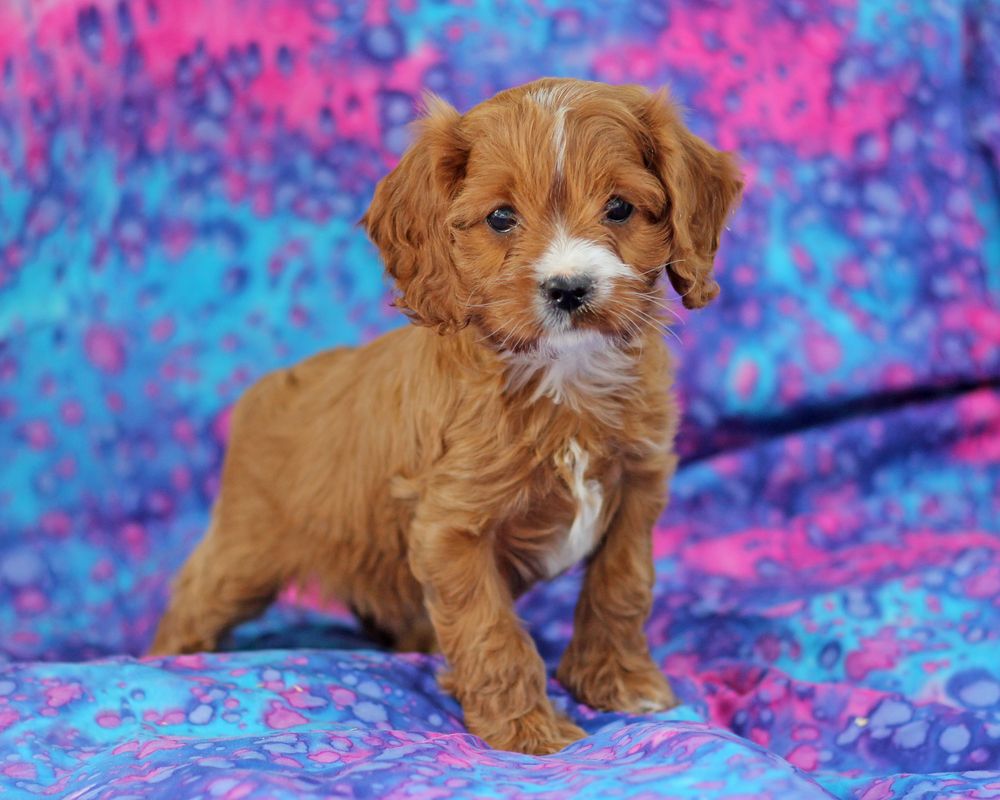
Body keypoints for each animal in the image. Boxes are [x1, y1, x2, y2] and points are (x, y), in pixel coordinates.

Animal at [148, 79, 744, 756]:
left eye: (619, 208)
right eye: (501, 218)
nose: (568, 288)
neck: (563, 376)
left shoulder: (639, 487)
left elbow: (622, 588)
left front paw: (618, 683)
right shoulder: (451, 529)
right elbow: (493, 631)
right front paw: (528, 732)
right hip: (244, 551)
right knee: (196, 596)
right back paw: (167, 657)